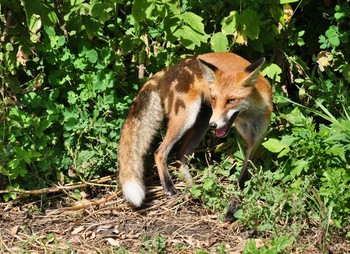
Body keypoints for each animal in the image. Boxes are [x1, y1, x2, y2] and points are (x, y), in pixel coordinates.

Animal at [119, 52, 272, 220]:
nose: (214, 125)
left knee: (180, 156)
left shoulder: (255, 142)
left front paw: (233, 208)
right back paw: (169, 187)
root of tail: (169, 68)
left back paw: (194, 189)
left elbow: (242, 178)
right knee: (159, 152)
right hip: (187, 118)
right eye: (214, 98)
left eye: (231, 100)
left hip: (201, 125)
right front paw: (232, 210)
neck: (249, 117)